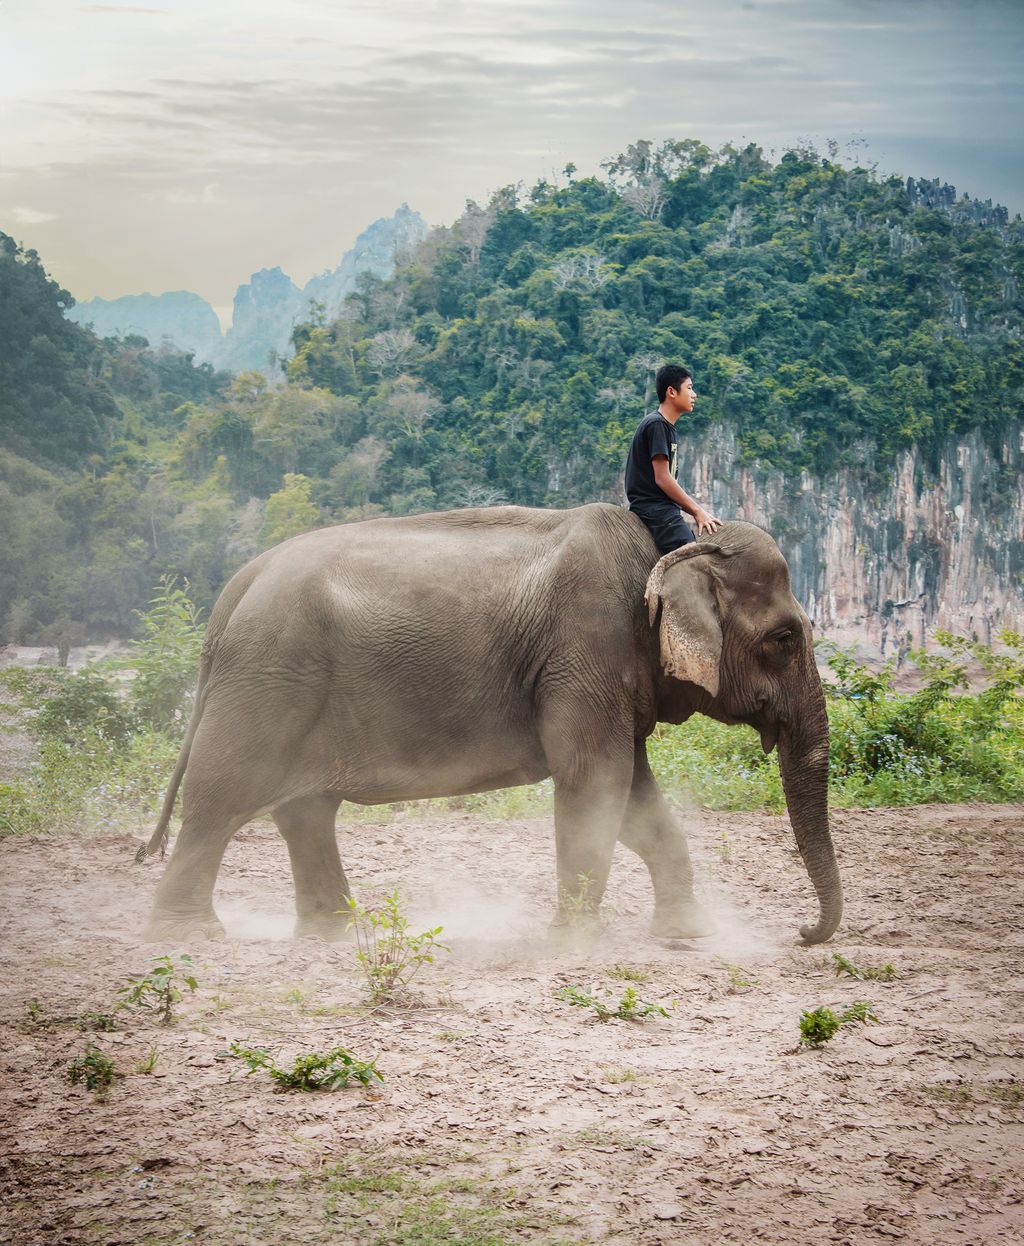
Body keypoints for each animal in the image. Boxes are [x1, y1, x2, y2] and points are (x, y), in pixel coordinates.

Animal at [136, 505, 842, 946]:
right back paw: (188, 935)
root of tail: (235, 590)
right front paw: (575, 942)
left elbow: (635, 799)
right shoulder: (585, 648)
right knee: (221, 800)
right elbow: (596, 783)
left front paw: (690, 932)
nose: (803, 933)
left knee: (303, 810)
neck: (666, 551)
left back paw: (331, 933)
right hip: (269, 679)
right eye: (784, 639)